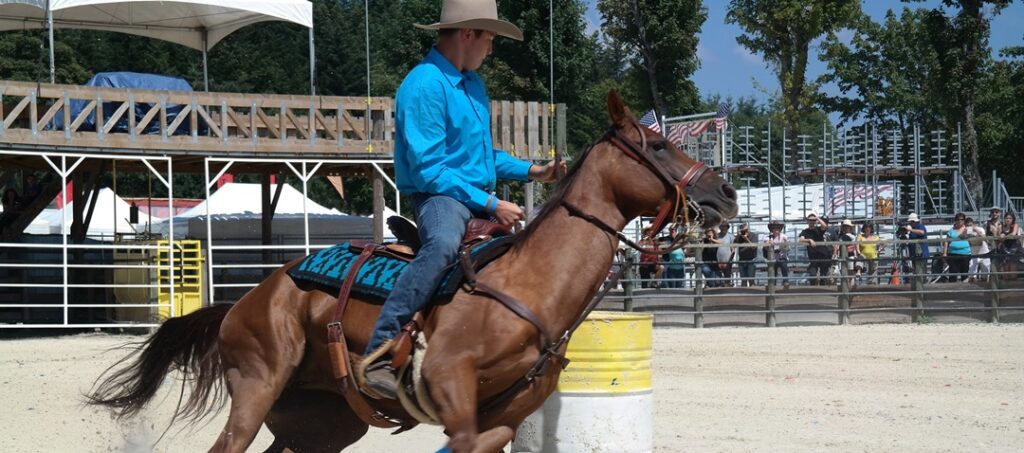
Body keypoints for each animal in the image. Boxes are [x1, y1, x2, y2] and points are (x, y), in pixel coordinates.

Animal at [90, 92, 737, 453]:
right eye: (657, 144)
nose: (726, 193)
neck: (527, 286)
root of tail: (246, 301)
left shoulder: (501, 419)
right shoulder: (451, 389)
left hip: (320, 425)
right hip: (256, 389)